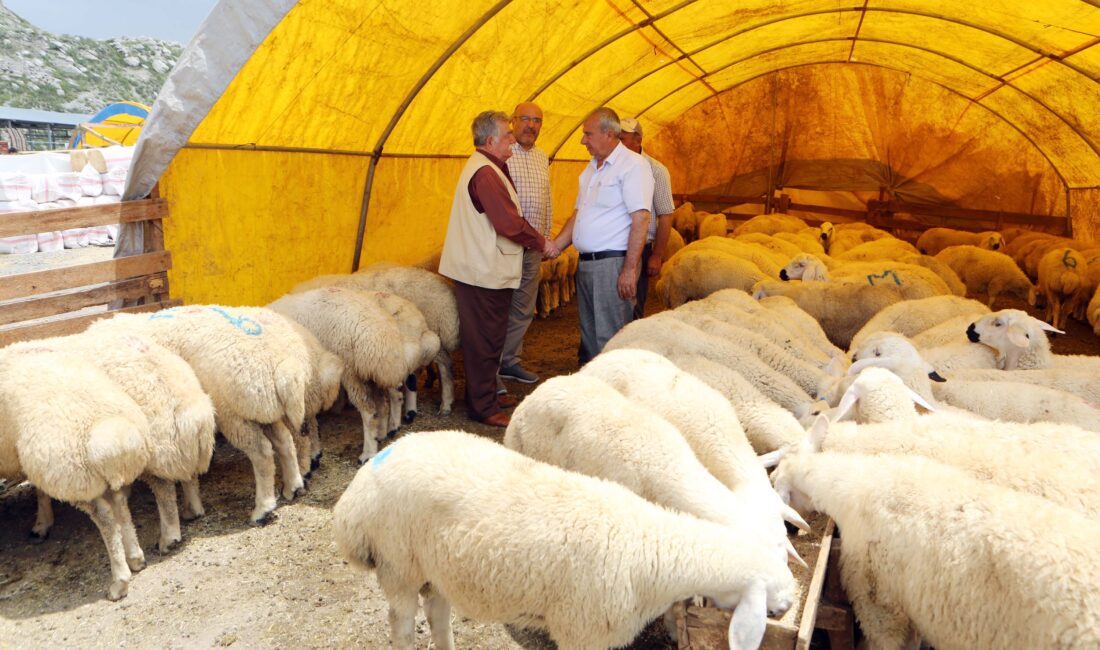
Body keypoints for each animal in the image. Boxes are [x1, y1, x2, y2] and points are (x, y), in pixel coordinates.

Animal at [0, 347, 152, 602]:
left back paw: (119, 582)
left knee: (106, 519)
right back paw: (135, 558)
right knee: (121, 508)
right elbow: (40, 491)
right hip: (64, 471)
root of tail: (112, 435)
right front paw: (42, 523)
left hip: (74, 478)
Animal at [90, 307, 312, 525]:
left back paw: (262, 509)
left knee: (262, 451)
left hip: (232, 412)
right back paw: (293, 486)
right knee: (284, 439)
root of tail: (286, 366)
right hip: (259, 408)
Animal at [330, 433, 796, 650]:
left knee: (438, 612)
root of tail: (355, 496)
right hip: (398, 565)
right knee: (402, 624)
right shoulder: (580, 630)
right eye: (772, 591)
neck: (653, 547)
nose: (791, 602)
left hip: (435, 569)